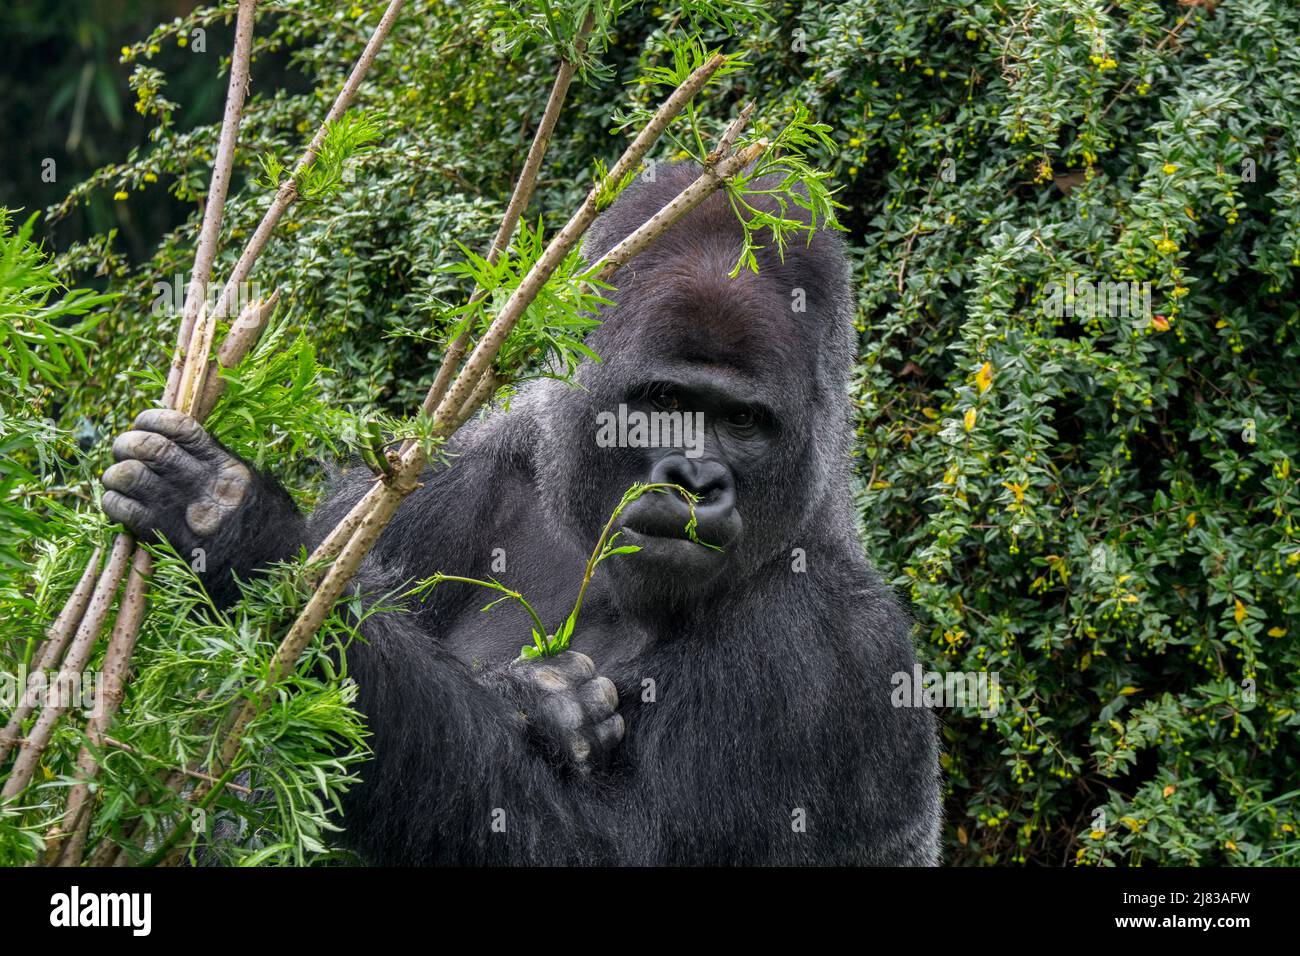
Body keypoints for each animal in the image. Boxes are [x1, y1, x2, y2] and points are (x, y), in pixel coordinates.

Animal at [98, 164, 935, 868]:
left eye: (743, 421)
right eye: (665, 401)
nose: (696, 481)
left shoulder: (832, 644)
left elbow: (597, 846)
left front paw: (243, 537)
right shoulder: (432, 479)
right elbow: (229, 767)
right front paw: (544, 700)